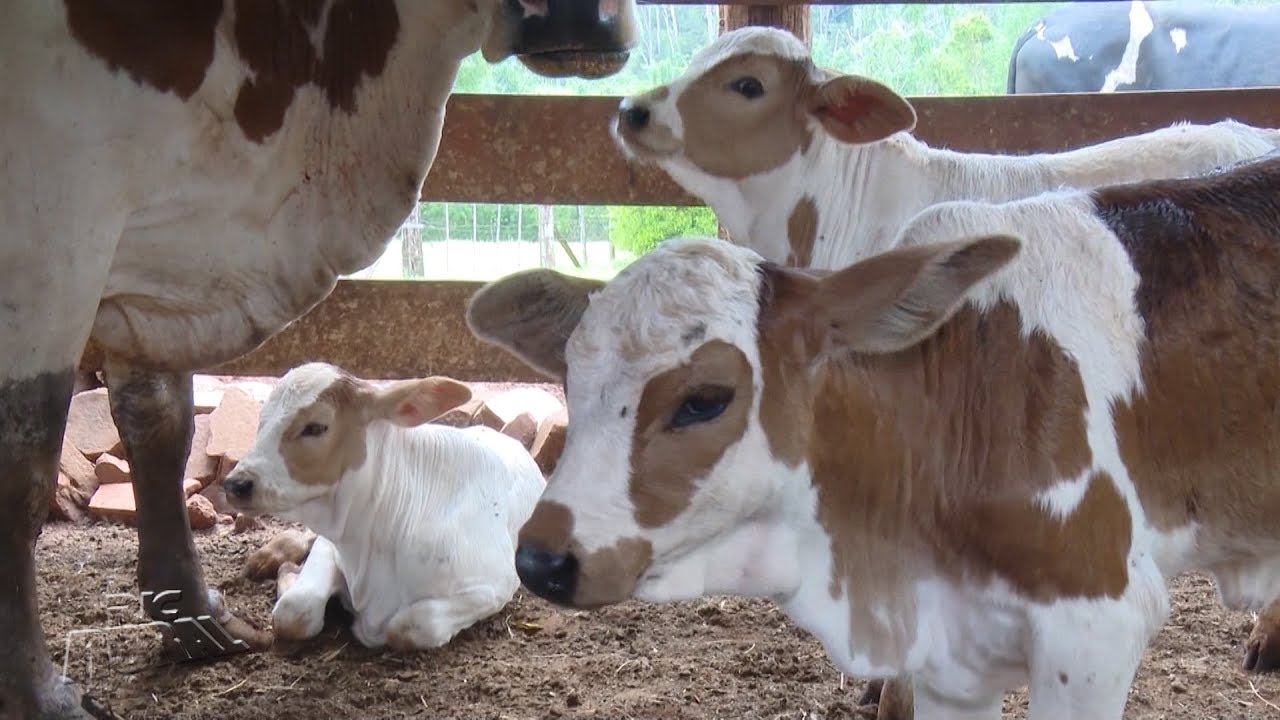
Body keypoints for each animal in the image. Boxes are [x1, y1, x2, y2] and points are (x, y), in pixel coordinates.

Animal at [220, 363, 545, 650]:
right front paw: (289, 575)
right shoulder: (331, 546)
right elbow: (293, 613)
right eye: (262, 420)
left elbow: (408, 627)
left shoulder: (494, 584)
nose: (236, 484)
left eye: (315, 427)